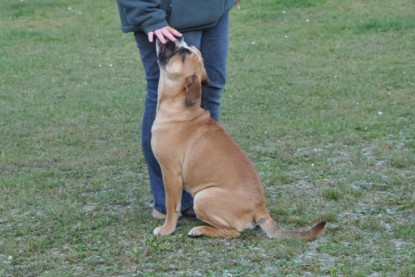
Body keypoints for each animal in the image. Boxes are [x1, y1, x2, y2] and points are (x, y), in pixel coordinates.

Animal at [151, 37, 326, 238]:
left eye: (184, 52)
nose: (177, 37)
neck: (178, 106)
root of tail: (260, 209)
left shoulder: (170, 173)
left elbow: (172, 206)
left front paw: (167, 228)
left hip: (203, 197)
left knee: (233, 232)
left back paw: (199, 230)